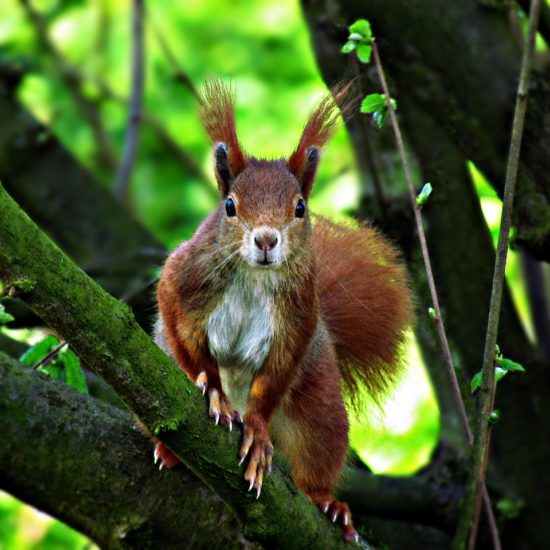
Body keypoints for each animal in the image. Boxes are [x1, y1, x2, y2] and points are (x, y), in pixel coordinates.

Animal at [152, 81, 414, 544]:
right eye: (230, 206)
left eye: (299, 208)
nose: (266, 240)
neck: (255, 276)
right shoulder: (182, 277)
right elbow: (179, 329)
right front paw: (212, 387)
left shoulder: (300, 315)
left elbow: (277, 371)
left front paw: (255, 429)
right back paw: (171, 449)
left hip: (319, 408)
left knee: (316, 457)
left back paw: (327, 502)